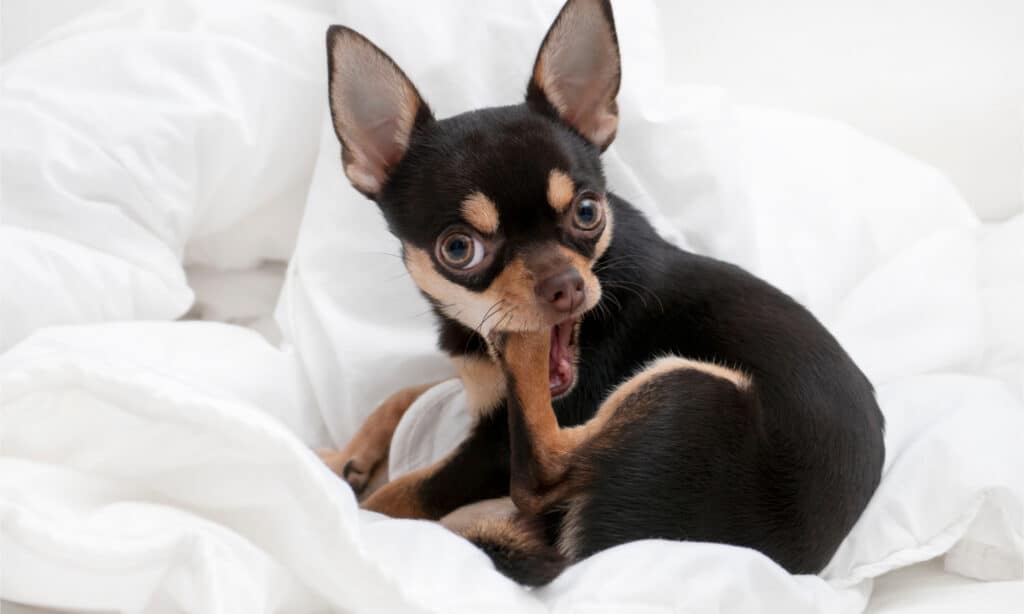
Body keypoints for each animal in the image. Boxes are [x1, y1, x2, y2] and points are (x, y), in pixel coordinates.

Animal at [315, 0, 884, 585]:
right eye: (458, 249)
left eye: (587, 212)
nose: (564, 286)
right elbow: (403, 392)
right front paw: (343, 458)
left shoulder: (492, 449)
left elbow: (399, 494)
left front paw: (355, 499)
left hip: (688, 386)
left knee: (538, 474)